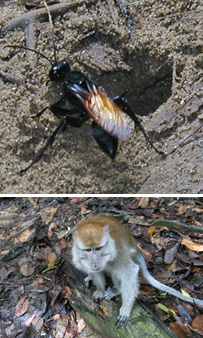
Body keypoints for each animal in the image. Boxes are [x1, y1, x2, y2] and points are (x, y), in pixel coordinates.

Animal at [71, 217, 203, 328]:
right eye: (88, 250)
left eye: (98, 248)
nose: (95, 262)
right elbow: (95, 272)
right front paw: (99, 290)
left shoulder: (118, 254)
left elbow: (130, 272)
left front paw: (125, 309)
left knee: (116, 271)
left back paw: (117, 289)